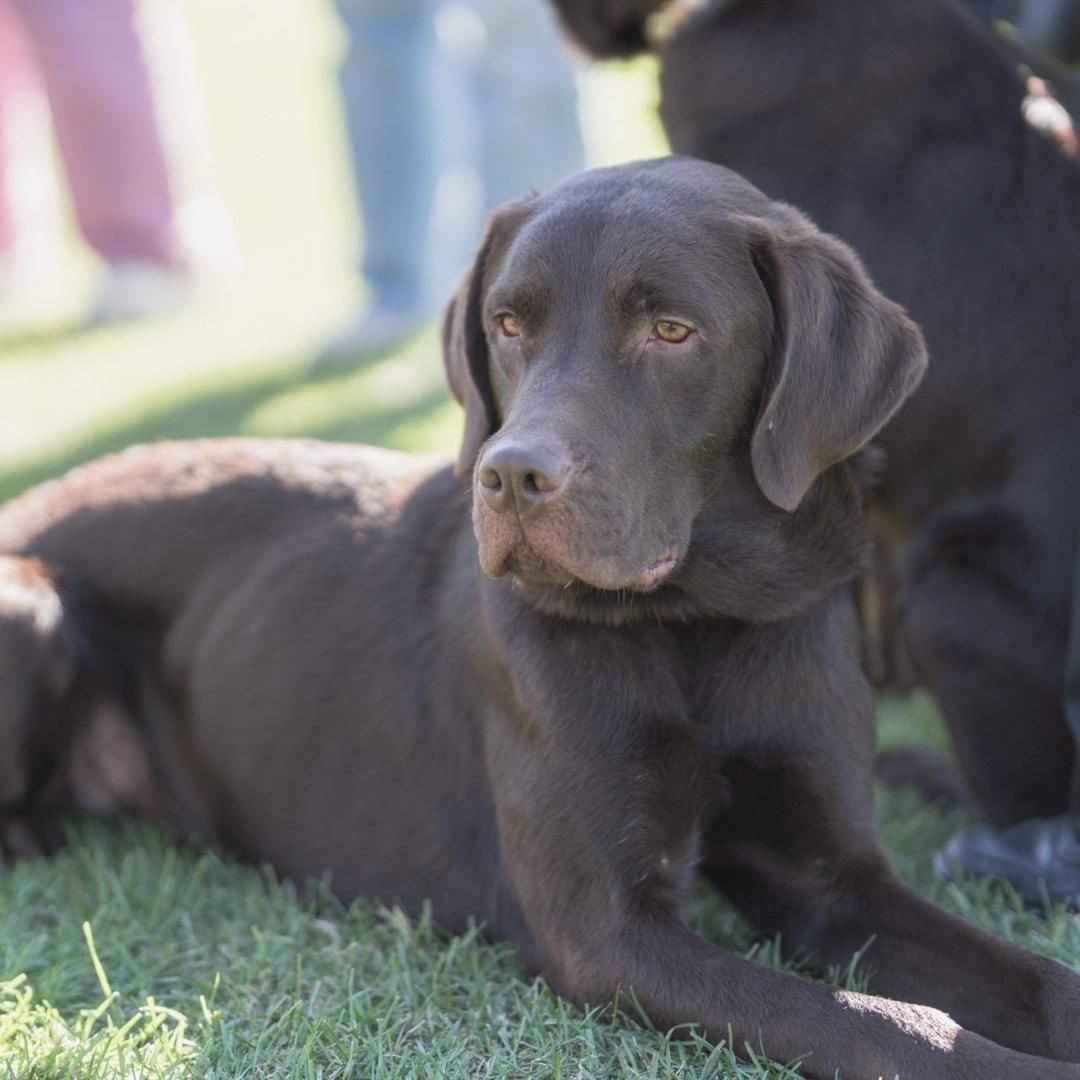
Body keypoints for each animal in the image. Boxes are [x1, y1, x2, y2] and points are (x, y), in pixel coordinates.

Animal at [2, 159, 1079, 1078]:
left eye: (673, 332)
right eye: (508, 323)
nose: (513, 475)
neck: (700, 625)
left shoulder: (832, 880)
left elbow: (1032, 978)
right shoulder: (605, 931)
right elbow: (879, 1024)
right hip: (31, 603)